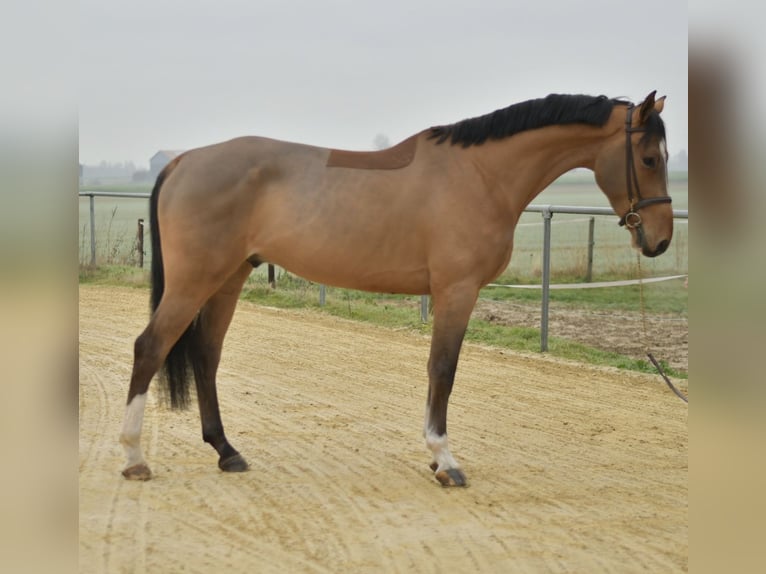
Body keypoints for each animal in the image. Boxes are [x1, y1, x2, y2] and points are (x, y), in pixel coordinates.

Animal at [119, 92, 673, 486]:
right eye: (649, 158)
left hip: (228, 278)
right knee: (150, 346)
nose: (660, 240)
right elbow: (443, 370)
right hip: (195, 280)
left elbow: (437, 371)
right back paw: (134, 457)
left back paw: (227, 452)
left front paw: (435, 457)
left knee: (206, 355)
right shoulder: (457, 290)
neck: (480, 174)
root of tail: (183, 161)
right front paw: (444, 460)